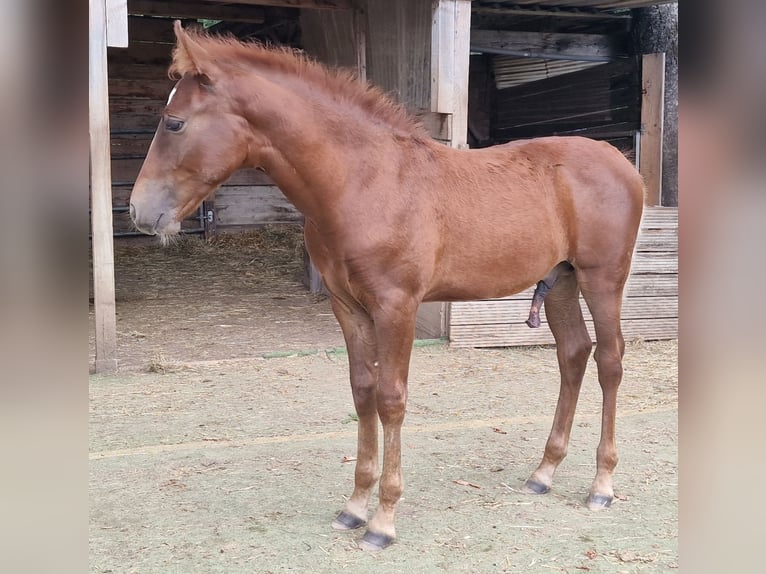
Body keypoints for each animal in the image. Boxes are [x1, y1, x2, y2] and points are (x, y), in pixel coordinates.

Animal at [129, 22, 644, 551]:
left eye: (173, 123)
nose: (139, 212)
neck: (365, 182)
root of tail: (620, 161)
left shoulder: (397, 306)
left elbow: (391, 400)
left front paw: (383, 520)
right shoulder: (347, 307)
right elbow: (363, 392)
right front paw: (355, 506)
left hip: (603, 278)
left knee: (609, 361)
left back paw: (602, 484)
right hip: (561, 280)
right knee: (573, 354)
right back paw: (544, 472)